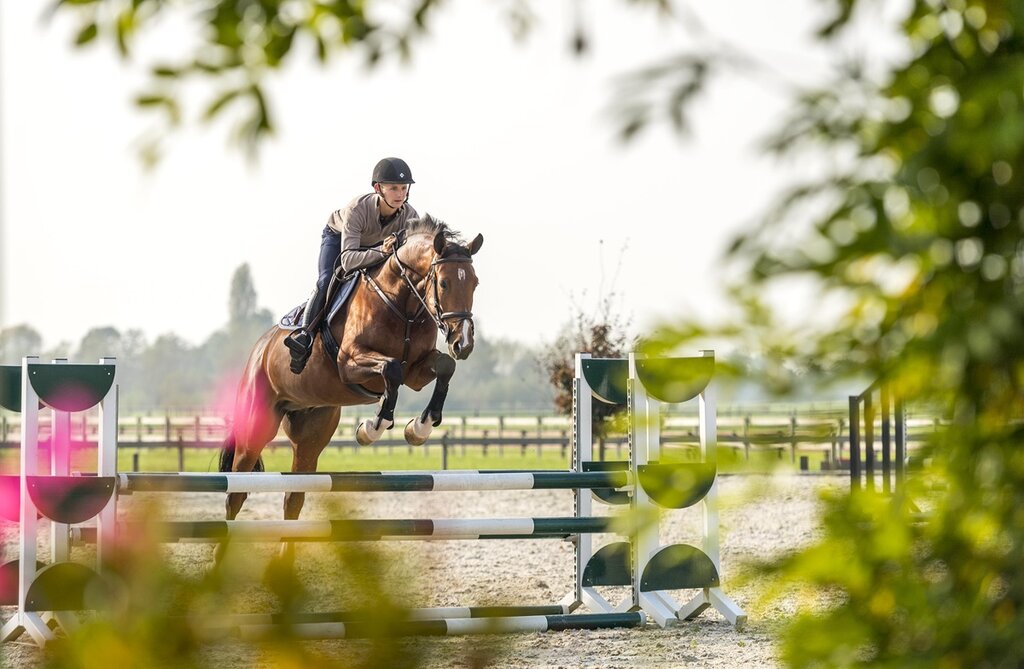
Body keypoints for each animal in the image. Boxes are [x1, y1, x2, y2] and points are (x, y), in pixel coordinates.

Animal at [218, 214, 481, 528]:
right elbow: (391, 370)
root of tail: (259, 350)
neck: (402, 305)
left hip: (310, 433)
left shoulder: (416, 372)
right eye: (443, 283)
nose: (463, 343)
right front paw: (372, 428)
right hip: (256, 426)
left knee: (293, 496)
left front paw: (419, 427)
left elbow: (445, 366)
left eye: (475, 283)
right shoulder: (351, 364)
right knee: (236, 492)